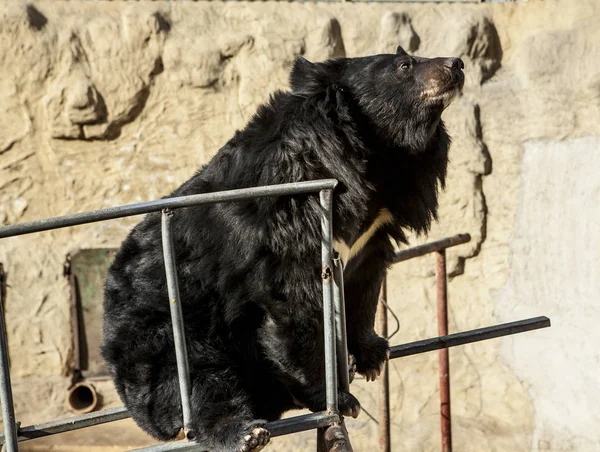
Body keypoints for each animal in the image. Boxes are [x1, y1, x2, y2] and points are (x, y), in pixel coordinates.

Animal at [102, 46, 464, 452]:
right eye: (404, 66)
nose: (457, 64)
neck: (374, 153)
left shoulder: (377, 224)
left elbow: (364, 282)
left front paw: (372, 355)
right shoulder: (288, 212)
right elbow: (293, 301)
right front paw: (338, 398)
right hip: (163, 332)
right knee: (197, 378)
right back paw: (244, 432)